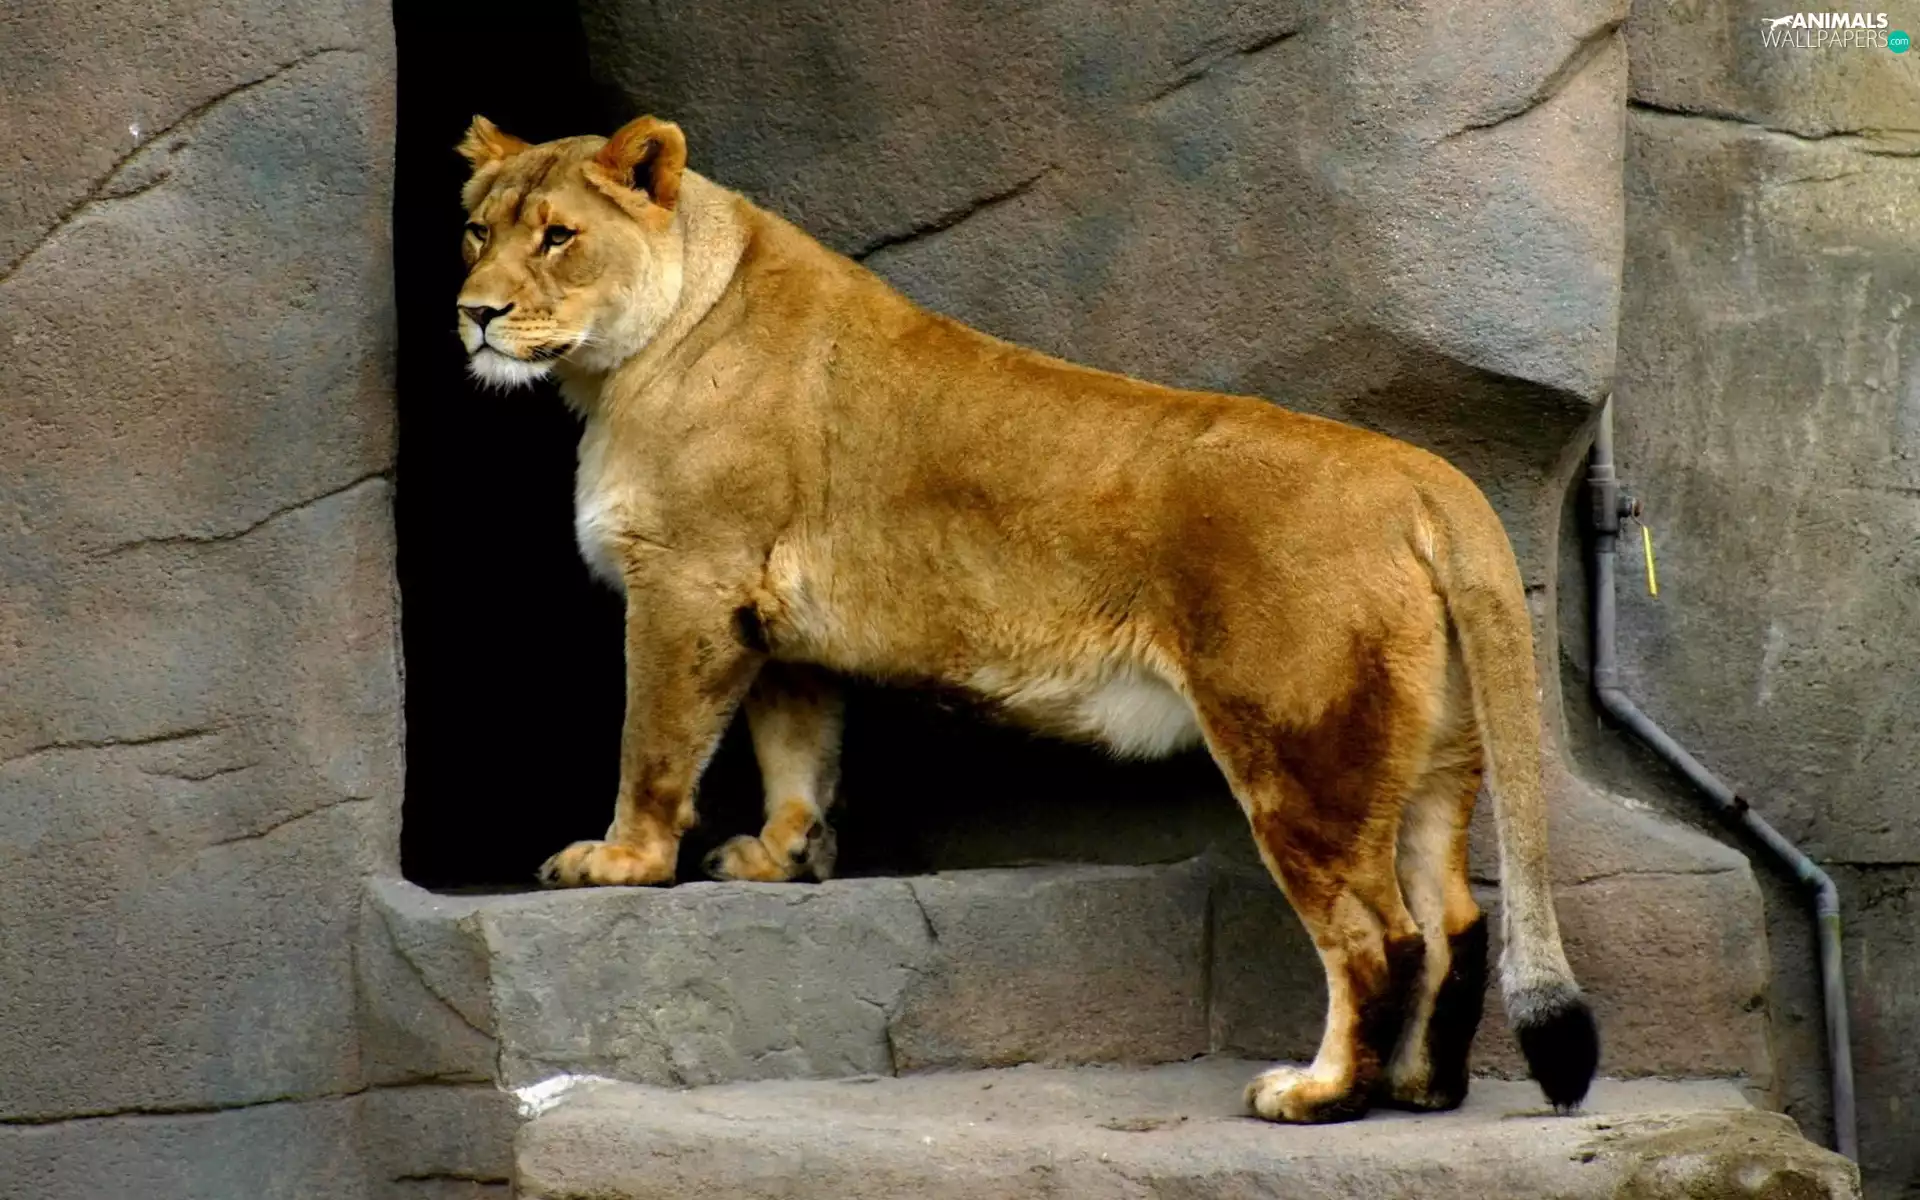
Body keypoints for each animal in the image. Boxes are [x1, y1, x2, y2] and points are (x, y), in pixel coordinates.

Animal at [451, 113, 1600, 1123]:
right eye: (476, 230)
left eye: (557, 235)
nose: (475, 313)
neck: (624, 363)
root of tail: (1423, 476)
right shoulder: (771, 614)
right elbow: (798, 747)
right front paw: (782, 858)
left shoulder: (689, 580)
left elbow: (652, 745)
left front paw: (620, 861)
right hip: (1433, 753)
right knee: (1455, 920)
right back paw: (1422, 1089)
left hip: (1304, 755)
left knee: (1377, 939)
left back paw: (1320, 1096)